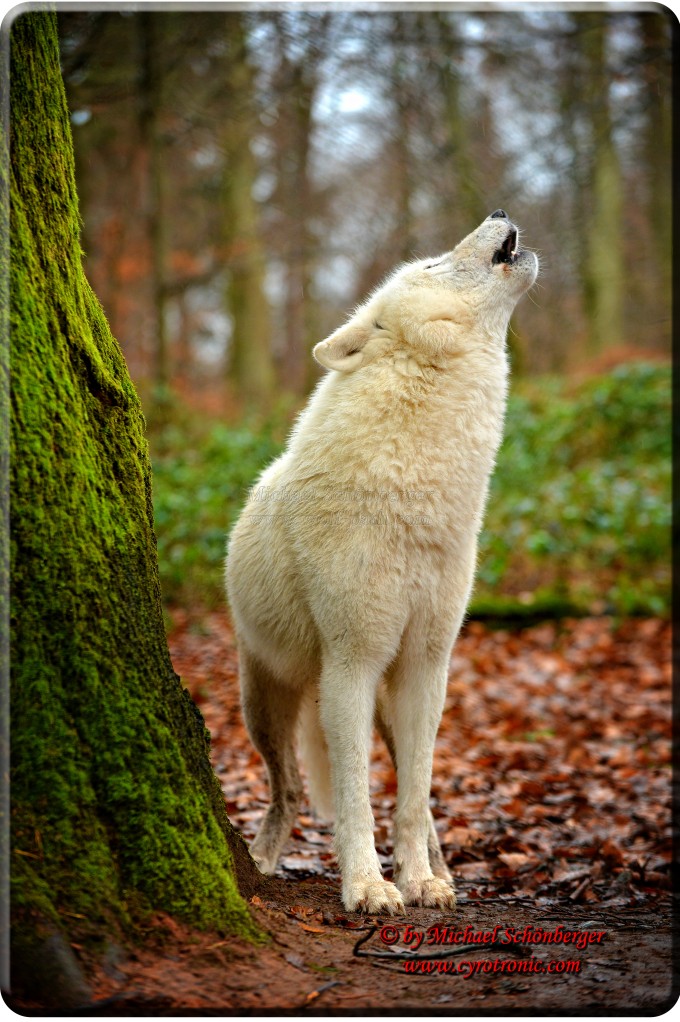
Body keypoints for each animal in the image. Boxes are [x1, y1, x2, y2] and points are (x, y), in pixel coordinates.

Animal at [224, 211, 539, 915]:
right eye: (430, 265)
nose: (501, 213)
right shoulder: (353, 663)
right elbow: (355, 799)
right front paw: (368, 886)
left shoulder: (427, 664)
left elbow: (413, 798)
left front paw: (419, 882)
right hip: (266, 705)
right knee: (288, 792)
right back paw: (260, 861)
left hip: (387, 702)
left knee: (412, 797)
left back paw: (443, 872)